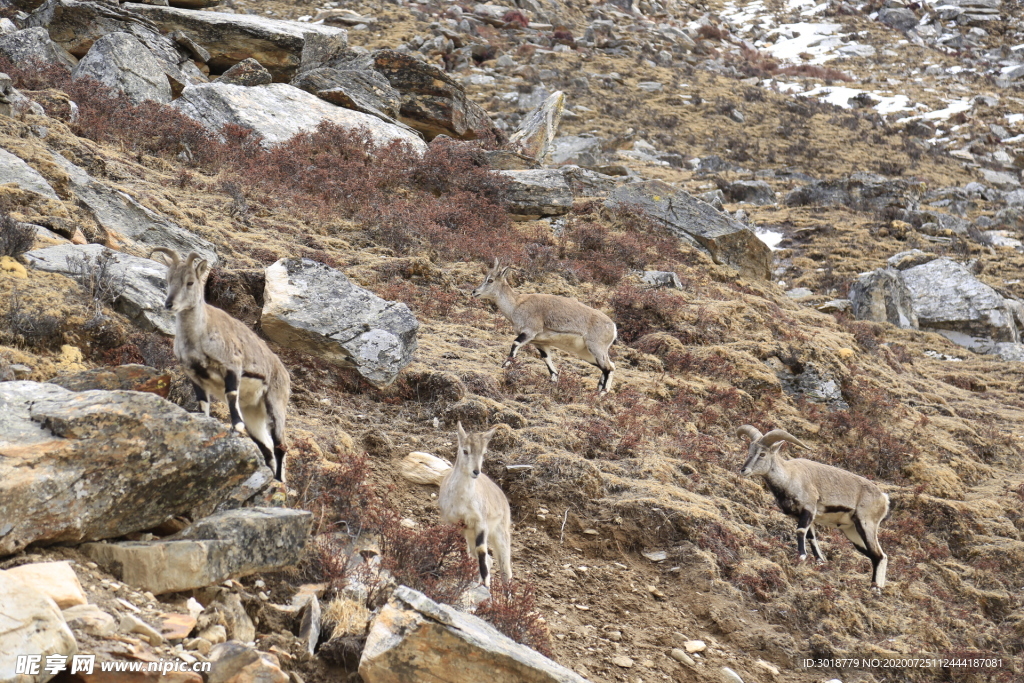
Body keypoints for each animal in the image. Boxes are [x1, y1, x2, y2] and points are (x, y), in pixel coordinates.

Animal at [149, 249, 290, 481]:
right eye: (168, 280)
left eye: (190, 282)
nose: (169, 304)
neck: (198, 336)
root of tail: (285, 374)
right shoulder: (194, 374)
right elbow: (203, 403)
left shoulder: (231, 366)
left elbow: (231, 394)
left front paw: (237, 427)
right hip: (253, 412)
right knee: (266, 449)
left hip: (274, 404)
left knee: (280, 446)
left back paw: (280, 481)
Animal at [471, 258, 614, 395]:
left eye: (490, 280)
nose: (474, 292)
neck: (516, 305)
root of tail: (612, 327)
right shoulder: (540, 342)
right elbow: (546, 358)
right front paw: (554, 379)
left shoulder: (530, 331)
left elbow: (515, 343)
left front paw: (505, 364)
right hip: (586, 352)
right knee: (608, 366)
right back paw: (598, 390)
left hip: (596, 347)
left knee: (609, 368)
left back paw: (602, 393)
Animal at [737, 423, 888, 589]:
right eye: (750, 451)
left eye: (762, 454)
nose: (743, 470)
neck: (790, 476)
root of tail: (883, 498)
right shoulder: (807, 516)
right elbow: (811, 537)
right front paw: (819, 561)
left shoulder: (808, 509)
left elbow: (801, 531)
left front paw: (802, 556)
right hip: (851, 531)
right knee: (877, 555)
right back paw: (877, 587)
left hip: (866, 524)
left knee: (879, 555)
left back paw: (875, 588)